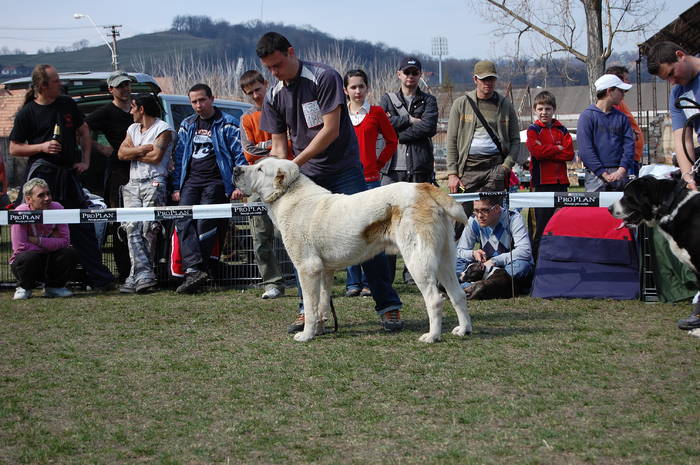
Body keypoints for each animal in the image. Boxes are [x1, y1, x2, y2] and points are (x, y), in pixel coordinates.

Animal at [232, 158, 474, 342]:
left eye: (260, 169)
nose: (235, 169)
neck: (290, 195)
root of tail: (423, 187)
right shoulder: (324, 271)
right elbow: (321, 305)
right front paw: (320, 330)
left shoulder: (307, 269)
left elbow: (310, 307)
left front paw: (306, 335)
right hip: (444, 259)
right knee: (458, 295)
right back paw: (464, 330)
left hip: (417, 260)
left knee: (434, 299)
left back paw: (432, 336)